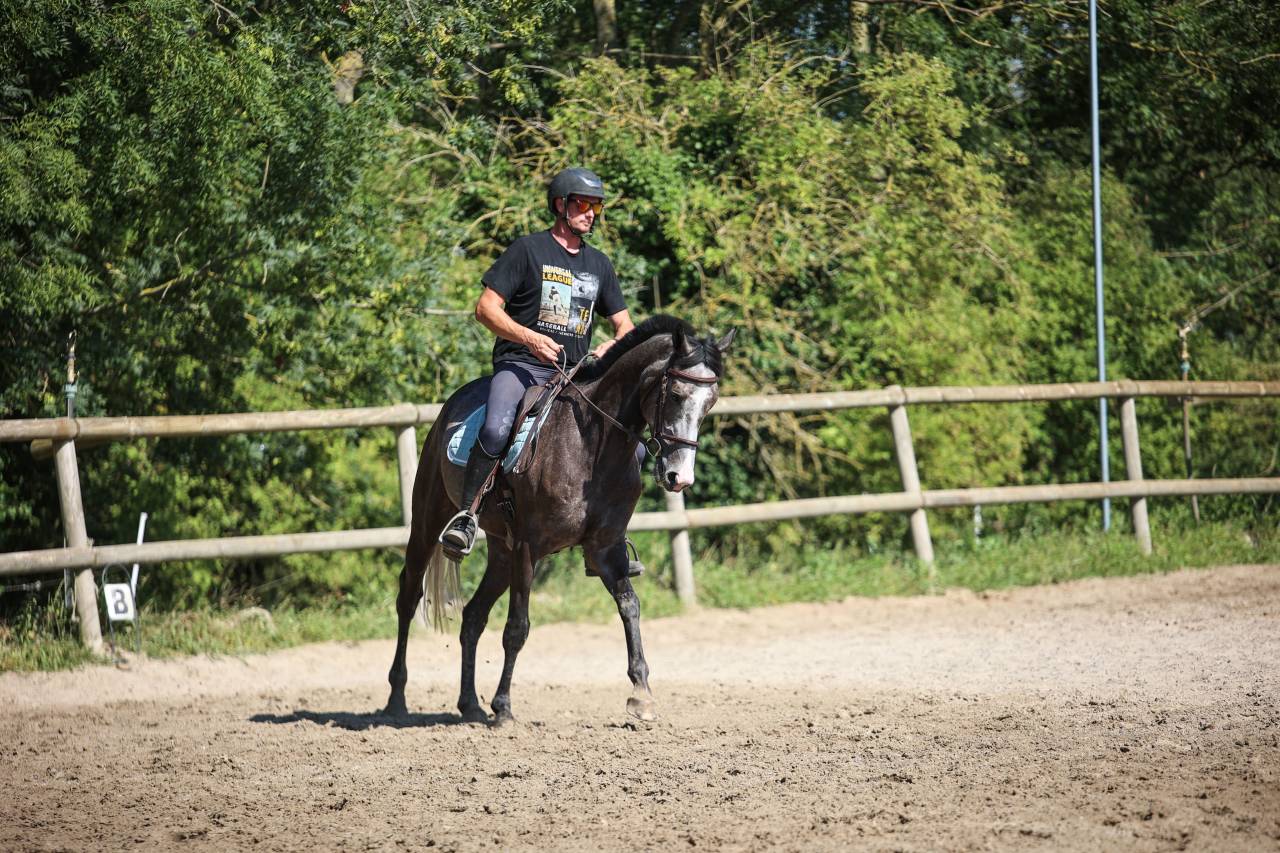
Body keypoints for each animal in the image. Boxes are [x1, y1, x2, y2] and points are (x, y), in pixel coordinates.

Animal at [383, 315, 735, 724]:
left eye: (711, 403)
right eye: (676, 394)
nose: (680, 477)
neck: (592, 447)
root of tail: (453, 404)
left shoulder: (604, 550)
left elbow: (630, 607)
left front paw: (641, 695)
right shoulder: (528, 548)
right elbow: (517, 628)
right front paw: (503, 707)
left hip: (501, 551)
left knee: (473, 616)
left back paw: (470, 704)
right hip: (429, 521)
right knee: (408, 598)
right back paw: (396, 699)